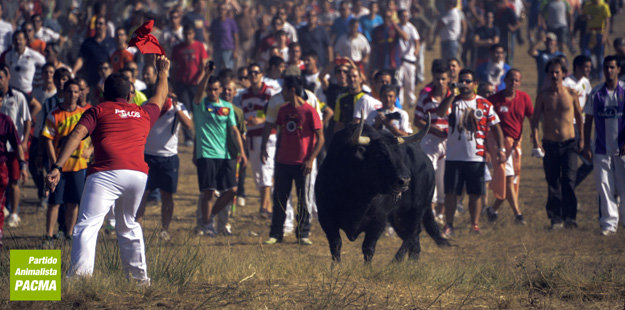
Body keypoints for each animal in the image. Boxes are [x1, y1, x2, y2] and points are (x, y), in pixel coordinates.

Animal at [316, 116, 448, 262]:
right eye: (379, 154)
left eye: (400, 155)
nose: (405, 180)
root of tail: (428, 163)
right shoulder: (325, 216)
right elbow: (336, 245)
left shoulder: (379, 220)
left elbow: (368, 248)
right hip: (398, 216)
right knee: (414, 242)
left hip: (417, 209)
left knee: (413, 233)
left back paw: (395, 261)